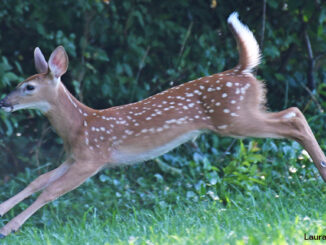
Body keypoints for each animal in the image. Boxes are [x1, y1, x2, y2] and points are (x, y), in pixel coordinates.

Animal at [0, 11, 326, 237]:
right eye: (18, 83)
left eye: (28, 87)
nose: (4, 101)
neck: (80, 125)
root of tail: (242, 70)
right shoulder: (73, 157)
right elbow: (37, 181)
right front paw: (3, 212)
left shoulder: (93, 158)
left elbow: (51, 192)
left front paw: (10, 227)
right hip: (241, 115)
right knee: (294, 112)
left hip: (234, 118)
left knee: (294, 117)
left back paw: (322, 169)